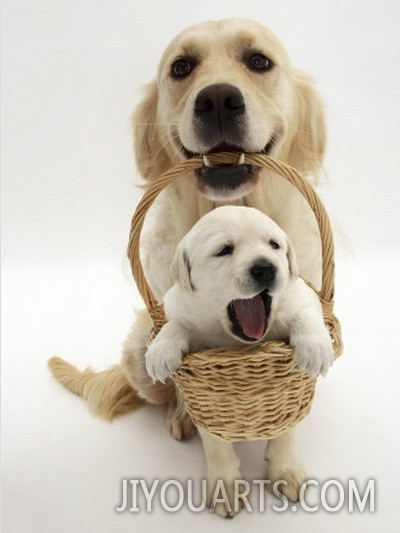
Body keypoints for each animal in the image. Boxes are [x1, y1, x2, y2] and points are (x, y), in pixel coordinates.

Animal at [145, 205, 332, 382]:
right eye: (223, 250)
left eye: (274, 244)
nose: (265, 268)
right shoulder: (180, 307)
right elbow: (176, 324)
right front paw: (160, 351)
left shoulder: (301, 295)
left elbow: (305, 313)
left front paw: (315, 348)